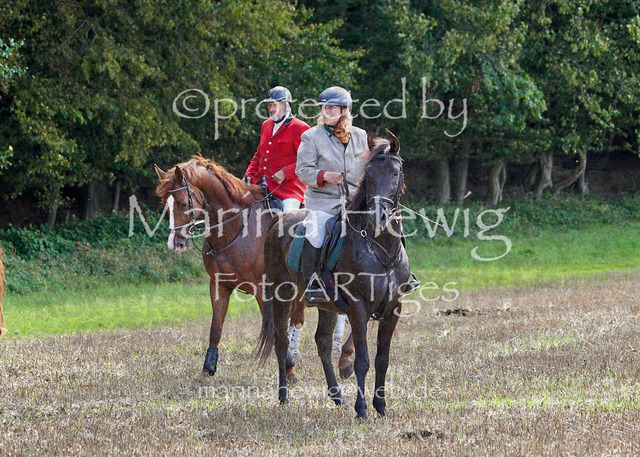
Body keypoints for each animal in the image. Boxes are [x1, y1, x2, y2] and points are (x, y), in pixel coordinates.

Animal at [155, 156, 308, 381]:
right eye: (165, 204)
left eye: (183, 203)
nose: (175, 243)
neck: (236, 227)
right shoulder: (219, 286)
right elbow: (215, 328)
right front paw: (207, 369)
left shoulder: (264, 291)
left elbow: (276, 330)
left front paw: (288, 370)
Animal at [256, 133, 410, 419]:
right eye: (369, 174)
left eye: (395, 173)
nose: (379, 216)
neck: (379, 246)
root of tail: (279, 222)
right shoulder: (359, 307)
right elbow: (362, 361)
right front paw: (362, 410)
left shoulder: (393, 308)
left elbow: (382, 359)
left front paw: (381, 407)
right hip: (282, 296)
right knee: (281, 342)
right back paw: (283, 396)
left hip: (326, 306)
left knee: (323, 343)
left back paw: (337, 396)